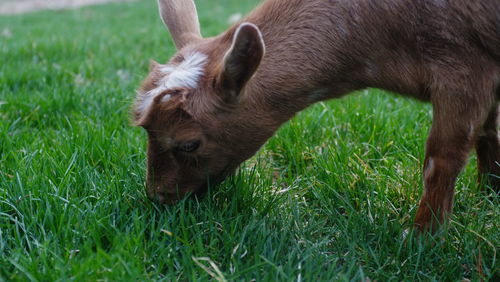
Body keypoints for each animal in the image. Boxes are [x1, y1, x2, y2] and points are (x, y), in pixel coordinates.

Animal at [134, 0, 500, 231]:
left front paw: (424, 238)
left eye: (189, 143)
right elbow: (489, 135)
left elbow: (442, 158)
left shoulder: (463, 67)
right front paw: (491, 195)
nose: (159, 198)